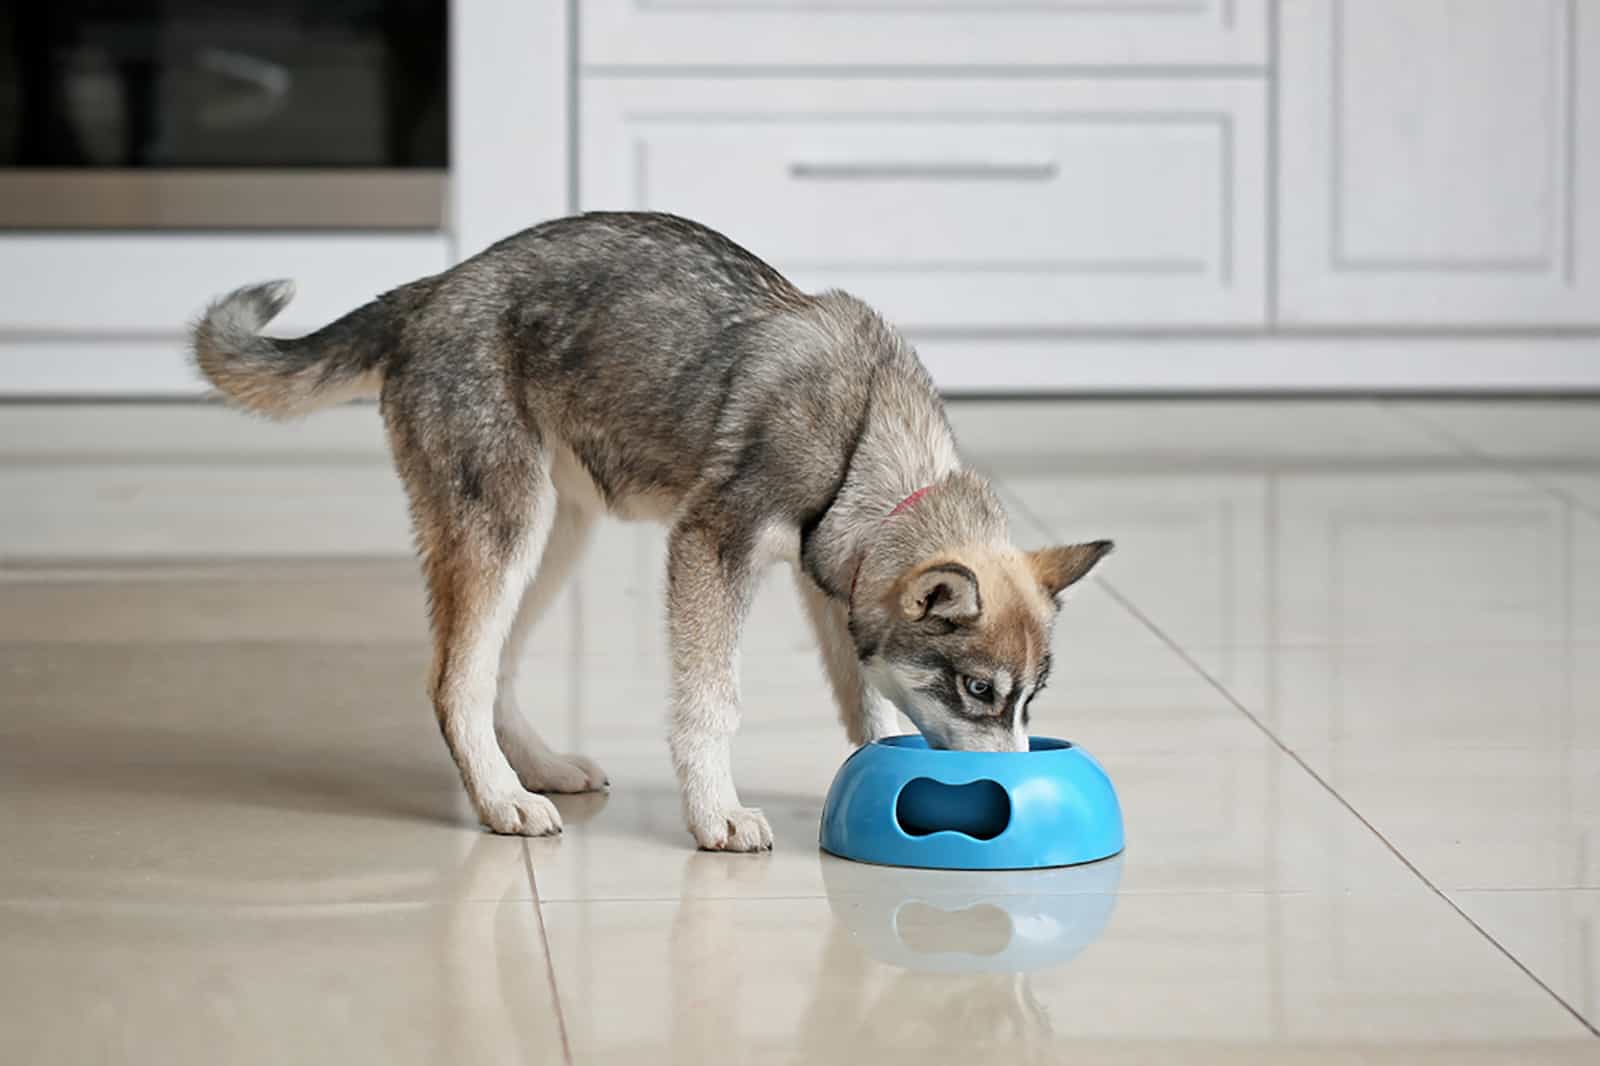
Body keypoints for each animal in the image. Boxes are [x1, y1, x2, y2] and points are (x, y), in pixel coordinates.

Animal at [190, 211, 1113, 851]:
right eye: (980, 691)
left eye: (1030, 700)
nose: (1016, 796)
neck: (864, 432)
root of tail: (430, 289)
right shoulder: (710, 547)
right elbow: (713, 704)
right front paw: (716, 816)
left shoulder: (832, 587)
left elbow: (870, 703)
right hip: (506, 529)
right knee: (454, 682)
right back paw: (500, 800)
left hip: (553, 538)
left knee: (492, 670)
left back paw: (539, 769)